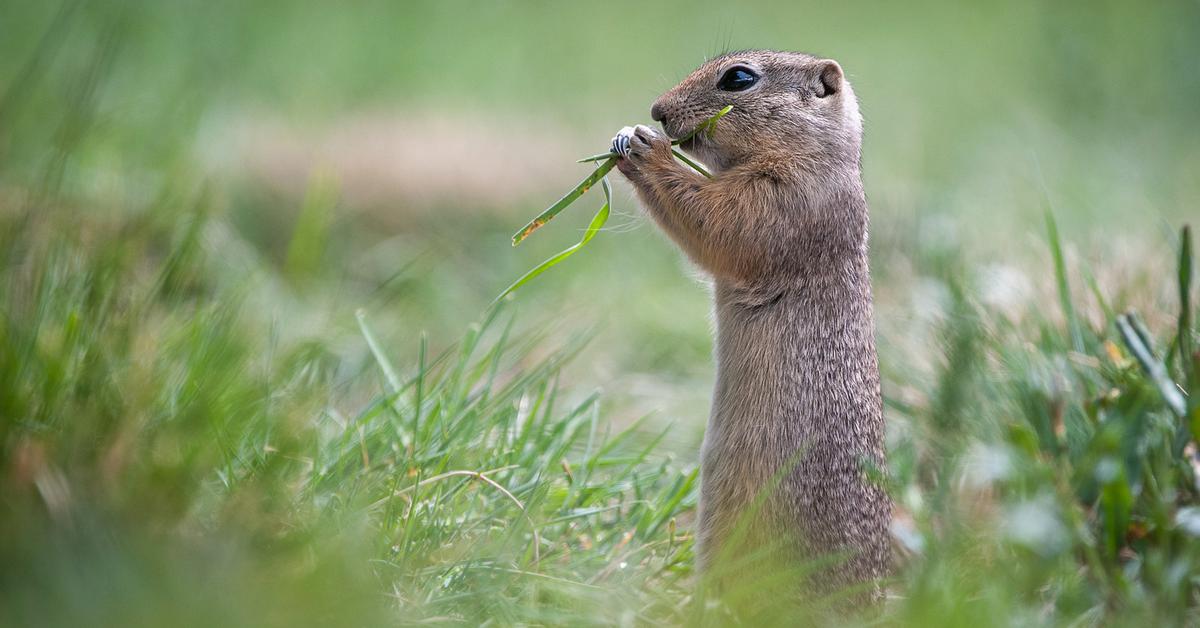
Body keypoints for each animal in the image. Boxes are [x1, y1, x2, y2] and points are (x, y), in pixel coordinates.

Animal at [609, 49, 892, 600]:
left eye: (738, 78)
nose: (657, 111)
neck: (823, 159)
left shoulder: (784, 201)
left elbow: (721, 222)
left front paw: (644, 147)